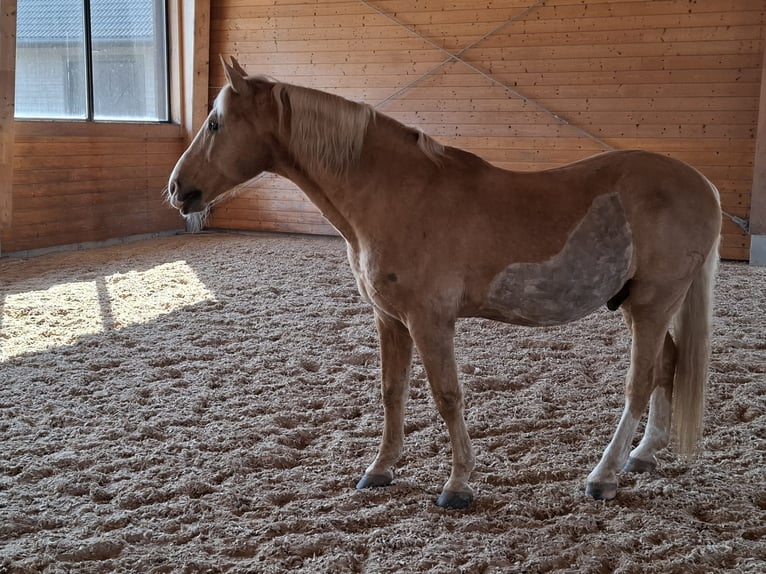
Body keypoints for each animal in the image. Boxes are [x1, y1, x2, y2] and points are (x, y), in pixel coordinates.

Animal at [167, 57, 721, 509]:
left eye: (215, 123)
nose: (177, 190)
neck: (400, 194)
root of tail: (702, 184)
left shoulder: (429, 321)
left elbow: (446, 396)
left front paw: (457, 485)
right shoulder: (390, 319)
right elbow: (393, 391)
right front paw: (380, 470)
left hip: (651, 305)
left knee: (640, 382)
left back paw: (604, 476)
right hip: (641, 305)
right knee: (668, 366)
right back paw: (643, 456)